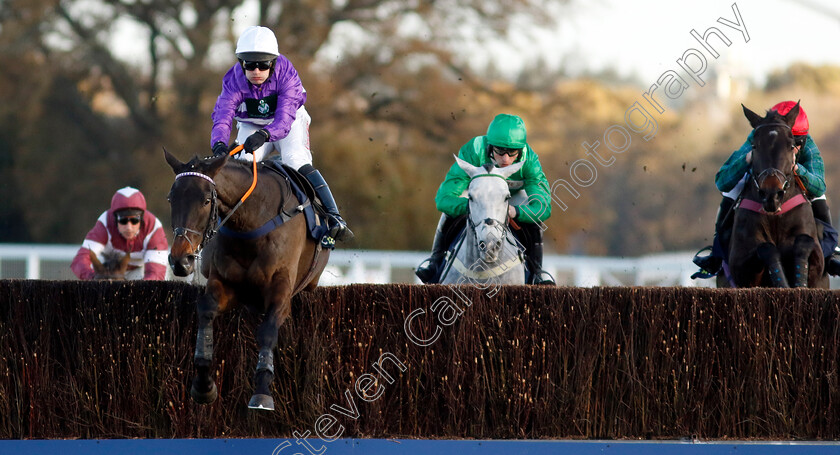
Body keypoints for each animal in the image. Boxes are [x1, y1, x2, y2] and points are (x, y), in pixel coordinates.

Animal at [162, 151, 330, 412]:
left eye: (206, 201)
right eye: (172, 199)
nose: (181, 259)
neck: (251, 222)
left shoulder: (281, 290)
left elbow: (268, 331)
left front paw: (262, 392)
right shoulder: (225, 284)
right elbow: (206, 311)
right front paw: (203, 385)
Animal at [720, 103, 828, 288]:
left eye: (791, 145)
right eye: (754, 146)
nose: (772, 194)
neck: (775, 216)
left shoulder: (817, 261)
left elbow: (804, 243)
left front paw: (799, 282)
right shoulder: (740, 265)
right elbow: (766, 248)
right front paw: (782, 282)